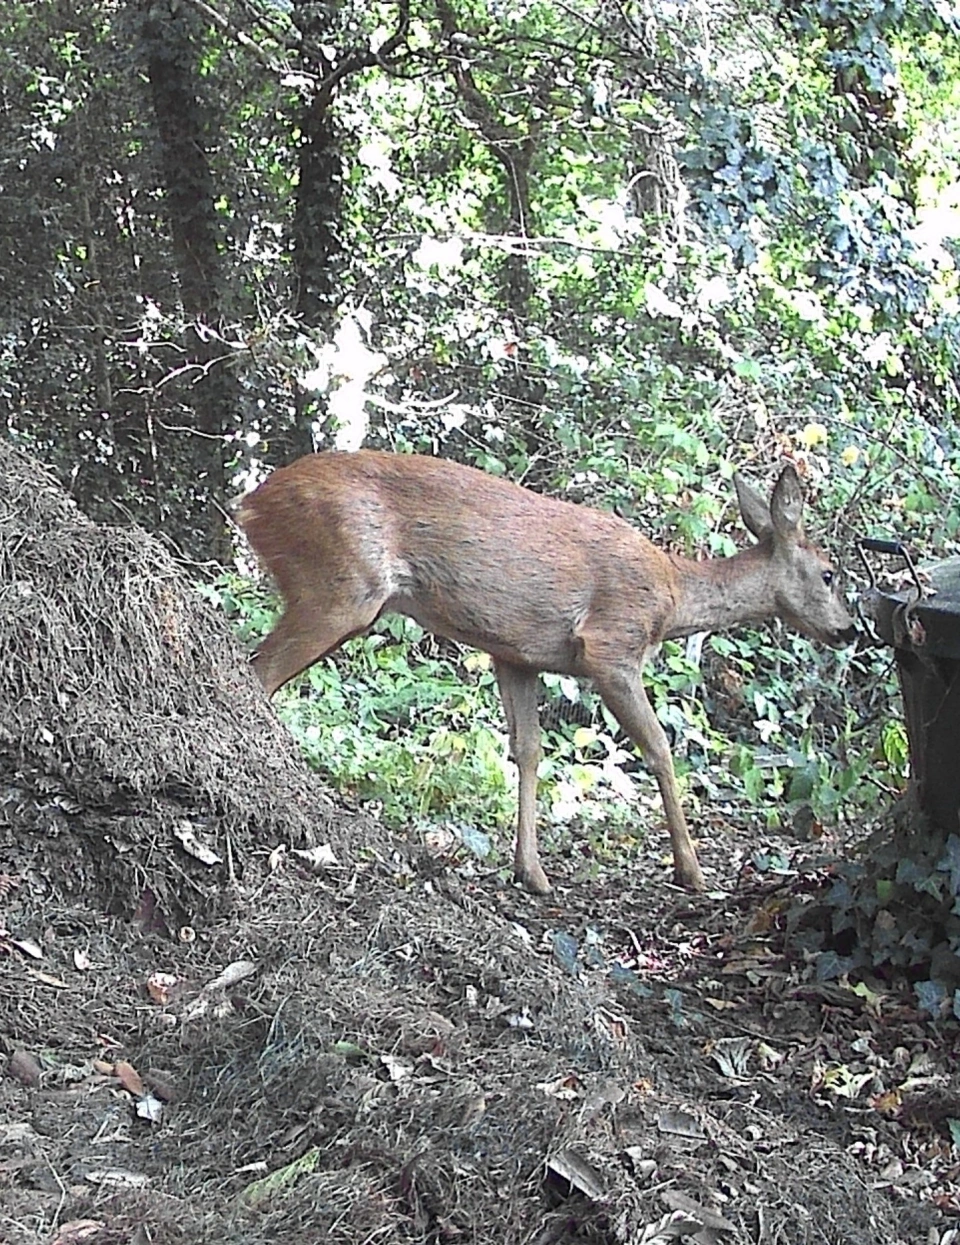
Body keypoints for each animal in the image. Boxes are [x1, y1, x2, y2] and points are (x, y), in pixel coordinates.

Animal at [237, 450, 856, 895]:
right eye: (829, 574)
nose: (850, 630)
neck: (673, 596)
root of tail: (252, 504)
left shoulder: (518, 653)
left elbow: (528, 750)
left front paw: (530, 871)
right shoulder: (612, 642)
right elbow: (659, 747)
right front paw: (692, 871)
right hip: (338, 583)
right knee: (257, 676)